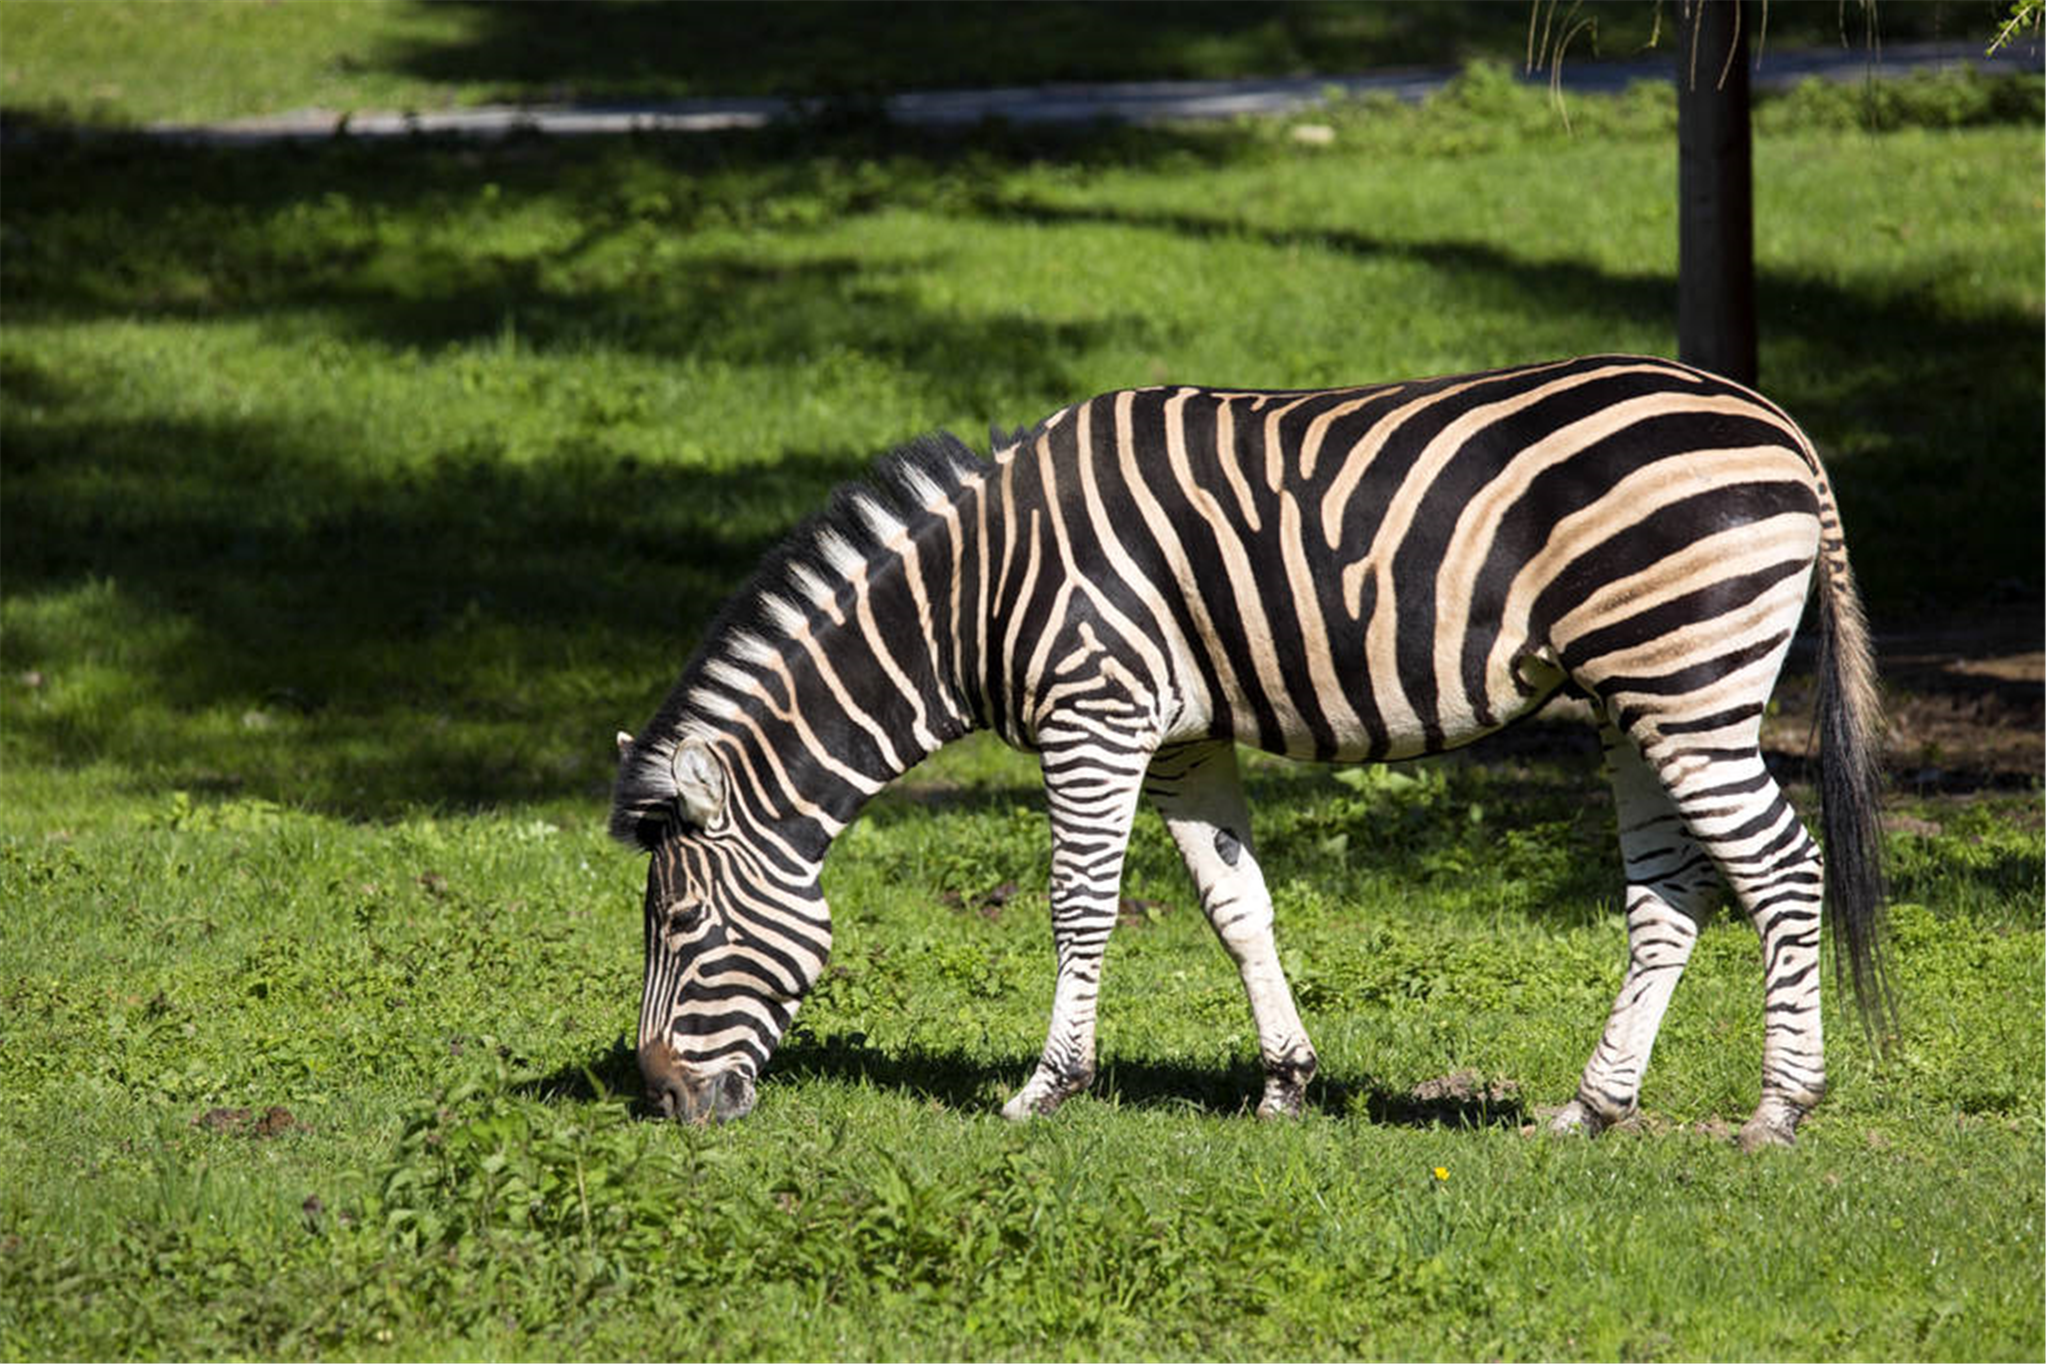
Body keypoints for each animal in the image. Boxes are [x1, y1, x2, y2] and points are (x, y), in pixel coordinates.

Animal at [613, 355, 1890, 1153]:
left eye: (679, 922)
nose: (662, 1098)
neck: (968, 598)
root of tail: (1782, 426)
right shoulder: (1185, 737)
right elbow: (1239, 907)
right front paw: (1284, 1082)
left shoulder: (1094, 712)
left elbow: (1080, 905)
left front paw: (1045, 1087)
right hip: (1639, 696)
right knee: (1670, 897)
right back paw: (1593, 1106)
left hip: (1691, 677)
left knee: (1783, 869)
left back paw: (1780, 1109)